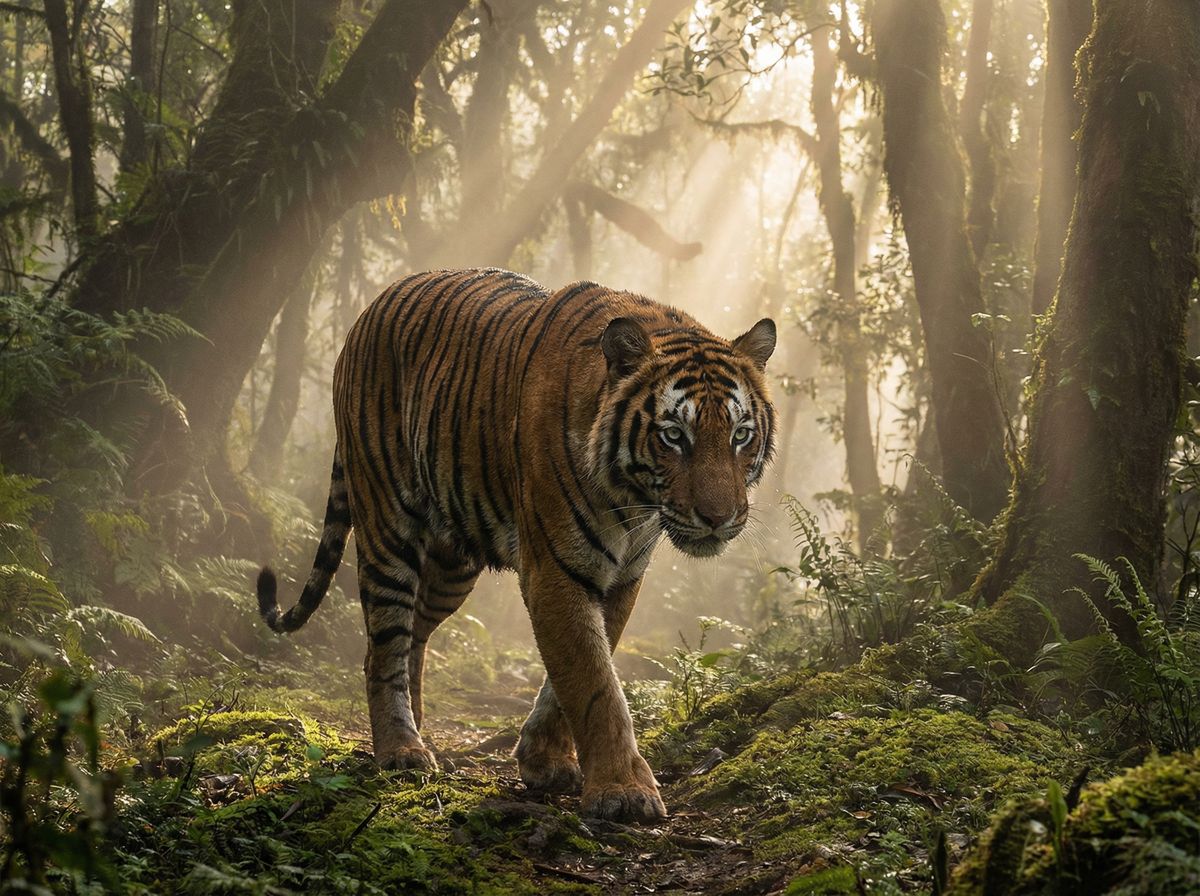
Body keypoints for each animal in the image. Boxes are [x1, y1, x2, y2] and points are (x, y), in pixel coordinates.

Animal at [256, 268, 776, 821]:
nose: (719, 519)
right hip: (386, 524)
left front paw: (544, 760)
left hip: (452, 565)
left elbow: (579, 671)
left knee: (412, 636)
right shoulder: (555, 569)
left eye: (741, 435)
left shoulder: (621, 578)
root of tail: (371, 307)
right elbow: (594, 682)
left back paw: (419, 728)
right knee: (384, 644)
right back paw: (401, 749)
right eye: (674, 435)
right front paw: (624, 790)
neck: (632, 501)